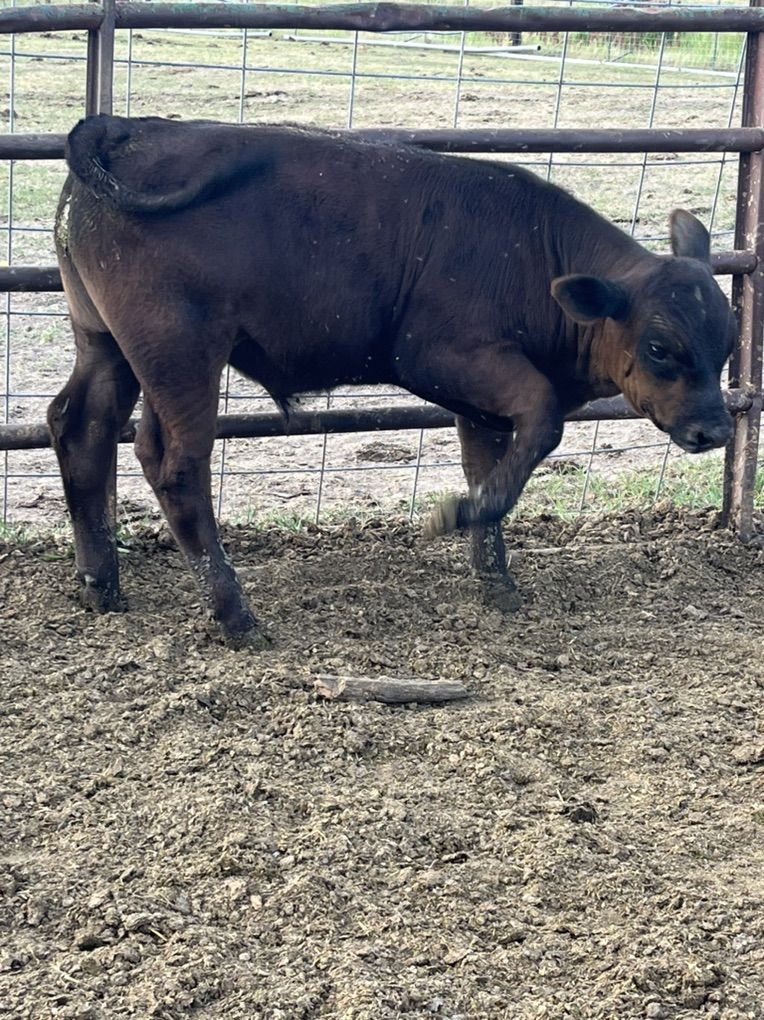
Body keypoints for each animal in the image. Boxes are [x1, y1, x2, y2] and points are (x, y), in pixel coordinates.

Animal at [48, 115, 736, 647]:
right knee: (176, 467)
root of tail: (127, 128)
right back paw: (234, 615)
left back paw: (100, 582)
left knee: (81, 428)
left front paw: (496, 581)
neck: (531, 254)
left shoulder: (480, 403)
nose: (717, 428)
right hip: (181, 355)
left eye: (729, 343)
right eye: (658, 348)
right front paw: (454, 514)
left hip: (108, 346)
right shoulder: (440, 356)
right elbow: (542, 422)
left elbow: (492, 469)